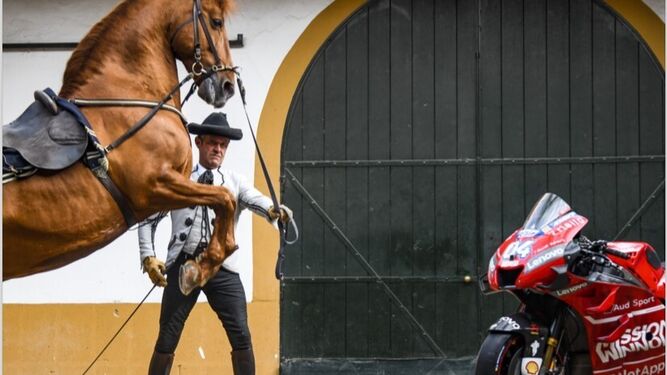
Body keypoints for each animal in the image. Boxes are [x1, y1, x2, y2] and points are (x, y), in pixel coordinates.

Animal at [2, 0, 241, 296]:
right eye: (217, 22)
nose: (228, 85)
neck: (127, 97)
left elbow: (223, 199)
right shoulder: (154, 186)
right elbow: (225, 199)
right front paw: (199, 269)